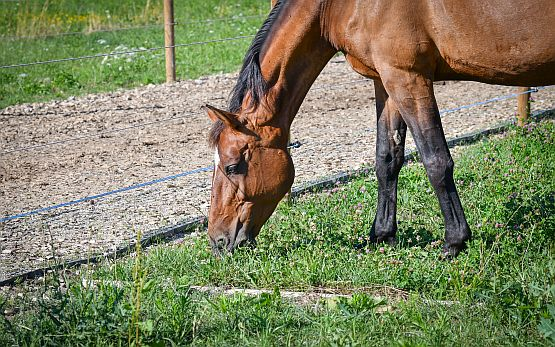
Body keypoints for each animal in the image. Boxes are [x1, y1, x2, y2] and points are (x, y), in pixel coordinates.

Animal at [206, 0, 555, 256]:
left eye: (233, 166)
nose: (217, 241)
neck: (340, 5)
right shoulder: (385, 80)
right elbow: (387, 160)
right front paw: (381, 236)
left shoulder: (407, 78)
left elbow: (436, 160)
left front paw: (454, 242)